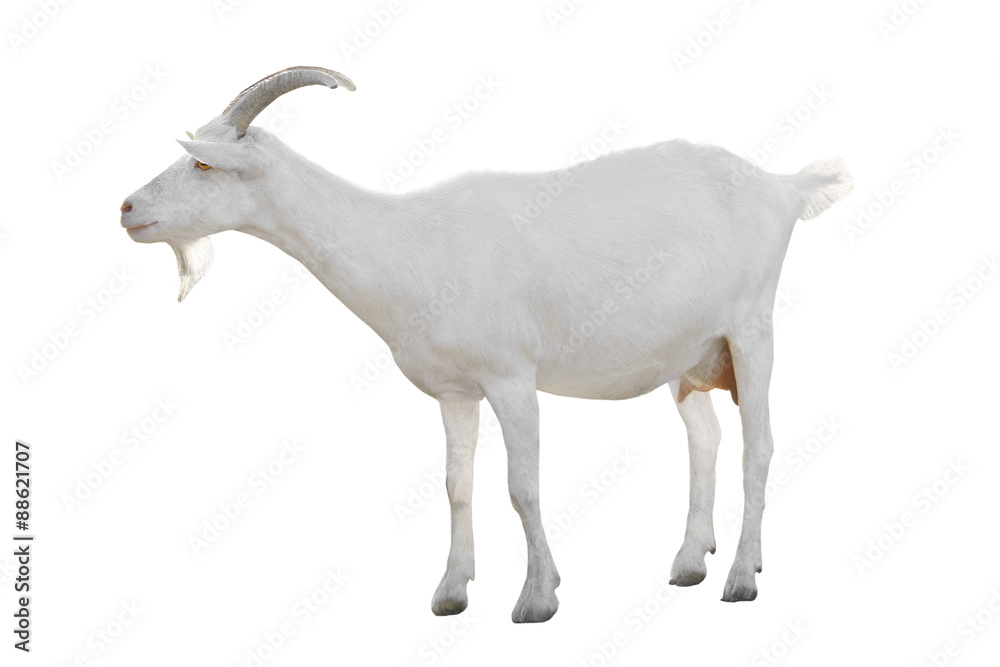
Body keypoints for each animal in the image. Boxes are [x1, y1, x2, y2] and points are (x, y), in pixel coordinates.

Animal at [121, 66, 852, 623]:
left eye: (203, 162)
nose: (127, 208)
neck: (409, 243)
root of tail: (783, 187)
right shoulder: (454, 390)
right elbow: (456, 484)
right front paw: (450, 592)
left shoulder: (512, 379)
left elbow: (521, 486)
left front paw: (537, 598)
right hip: (690, 354)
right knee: (705, 437)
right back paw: (689, 561)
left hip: (751, 328)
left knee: (760, 446)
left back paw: (742, 576)